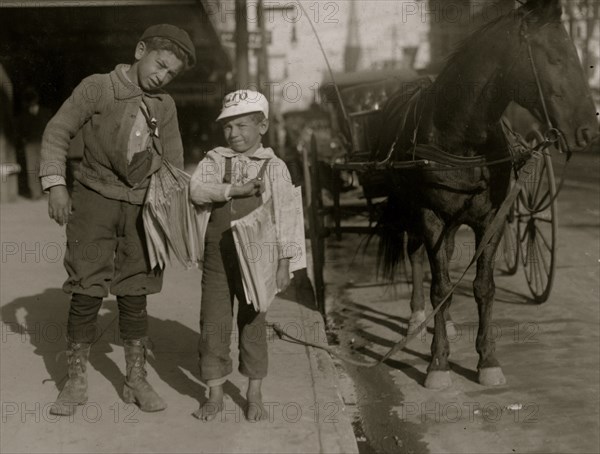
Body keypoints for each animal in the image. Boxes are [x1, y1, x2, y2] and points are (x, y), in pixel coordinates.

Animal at [372, 0, 596, 390]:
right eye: (555, 58)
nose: (590, 129)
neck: (460, 137)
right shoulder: (430, 216)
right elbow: (439, 285)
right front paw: (438, 364)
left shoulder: (491, 220)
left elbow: (482, 287)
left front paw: (488, 360)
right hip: (413, 213)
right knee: (417, 257)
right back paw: (417, 318)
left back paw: (442, 323)